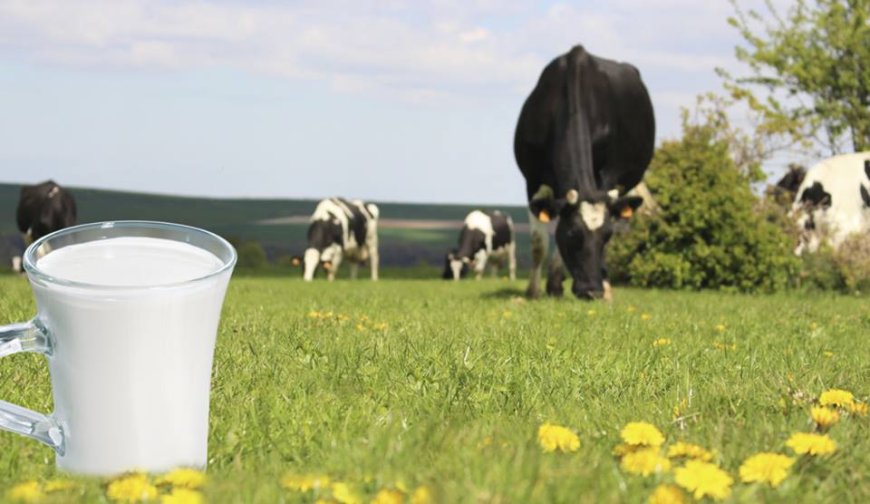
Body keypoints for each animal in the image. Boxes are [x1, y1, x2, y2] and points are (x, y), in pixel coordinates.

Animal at [510, 44, 656, 300]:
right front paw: (534, 291)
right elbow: (539, 242)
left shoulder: (608, 176)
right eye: (572, 234)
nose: (592, 291)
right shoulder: (533, 179)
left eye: (607, 236)